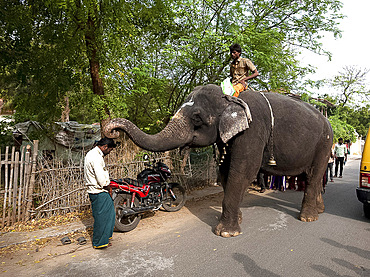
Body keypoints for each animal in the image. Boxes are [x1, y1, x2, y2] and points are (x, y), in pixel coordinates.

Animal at [103, 84, 332, 237]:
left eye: (197, 118)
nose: (113, 132)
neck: (229, 99)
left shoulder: (252, 130)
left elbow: (243, 172)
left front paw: (226, 233)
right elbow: (224, 173)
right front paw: (237, 220)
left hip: (324, 142)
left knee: (314, 175)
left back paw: (308, 218)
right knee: (313, 176)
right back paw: (319, 210)